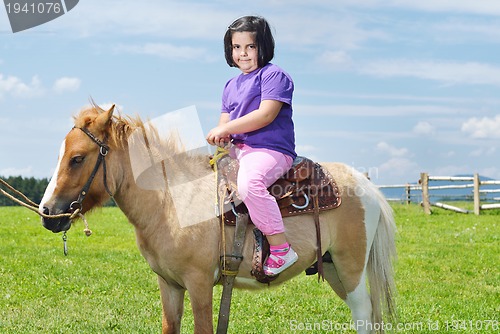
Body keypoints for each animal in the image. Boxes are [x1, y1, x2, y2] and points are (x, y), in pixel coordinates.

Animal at [39, 104, 396, 334]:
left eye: (77, 158)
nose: (47, 214)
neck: (172, 203)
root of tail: (365, 184)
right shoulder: (169, 285)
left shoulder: (199, 284)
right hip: (333, 268)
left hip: (350, 268)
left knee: (363, 314)